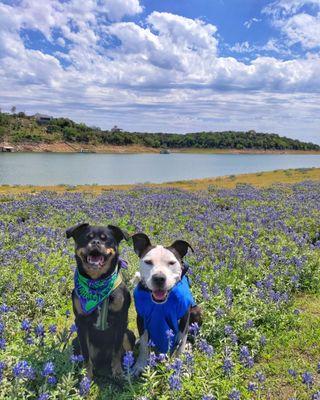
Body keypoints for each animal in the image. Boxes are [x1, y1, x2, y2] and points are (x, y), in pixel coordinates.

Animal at [66, 223, 134, 380]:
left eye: (105, 239)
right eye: (87, 237)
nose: (96, 242)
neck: (97, 282)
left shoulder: (121, 319)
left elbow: (117, 350)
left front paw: (117, 372)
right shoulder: (81, 322)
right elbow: (85, 356)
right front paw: (87, 376)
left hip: (128, 334)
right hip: (75, 341)